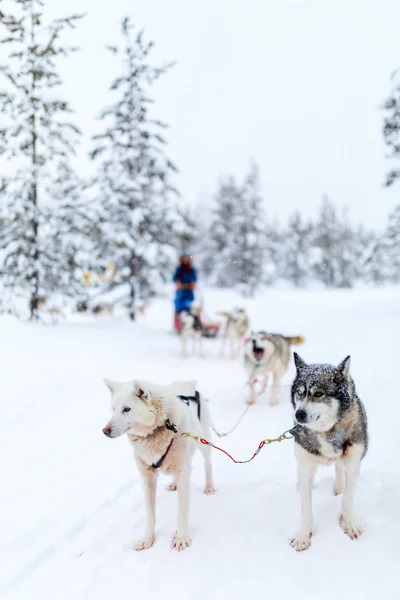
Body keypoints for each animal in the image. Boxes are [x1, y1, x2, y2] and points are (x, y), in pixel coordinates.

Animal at [103, 378, 216, 552]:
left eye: (127, 409)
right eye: (113, 408)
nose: (105, 430)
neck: (159, 427)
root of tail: (187, 384)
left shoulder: (183, 473)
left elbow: (182, 512)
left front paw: (181, 538)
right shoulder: (147, 477)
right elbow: (150, 513)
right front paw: (147, 539)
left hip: (203, 442)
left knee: (207, 463)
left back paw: (209, 486)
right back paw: (173, 483)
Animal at [288, 352, 368, 552]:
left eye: (318, 394)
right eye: (300, 392)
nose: (299, 414)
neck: (325, 431)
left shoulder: (353, 464)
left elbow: (347, 499)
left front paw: (348, 524)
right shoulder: (305, 466)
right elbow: (305, 508)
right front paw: (303, 536)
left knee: (339, 467)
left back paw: (338, 487)